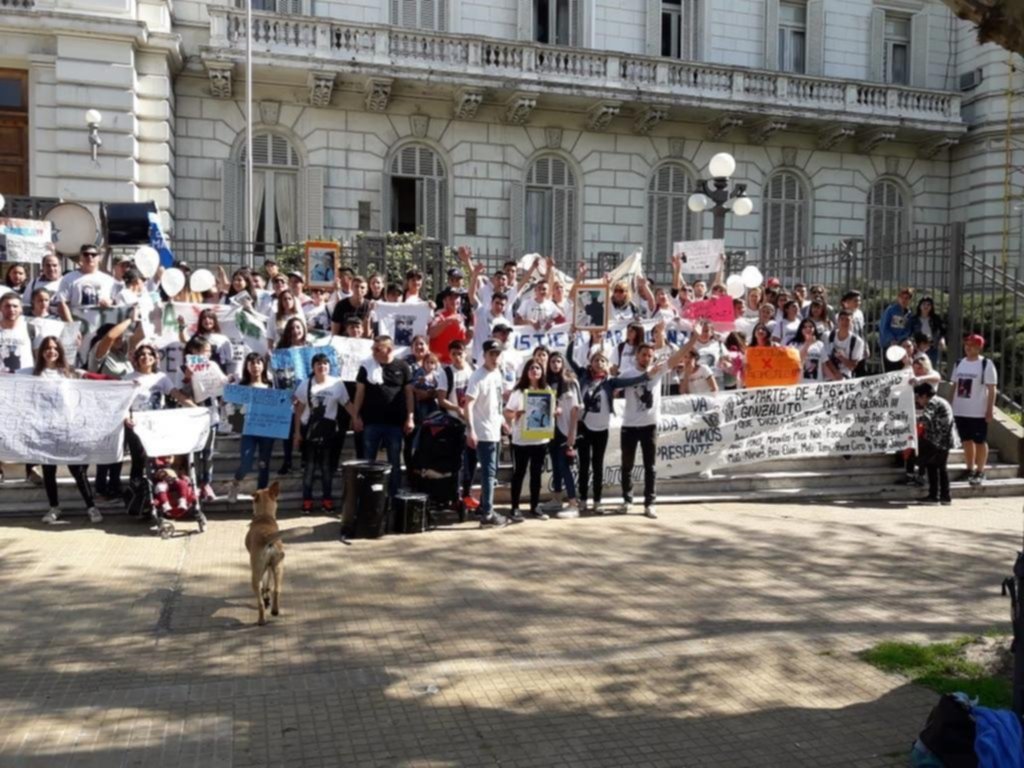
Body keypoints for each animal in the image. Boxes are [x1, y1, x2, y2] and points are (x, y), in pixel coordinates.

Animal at [243, 483, 284, 626]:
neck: (264, 517)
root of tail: (268, 537)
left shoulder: (261, 568)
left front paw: (265, 599)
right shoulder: (270, 567)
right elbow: (267, 583)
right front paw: (267, 598)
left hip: (255, 574)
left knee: (259, 601)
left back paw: (261, 619)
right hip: (278, 567)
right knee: (276, 589)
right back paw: (274, 611)